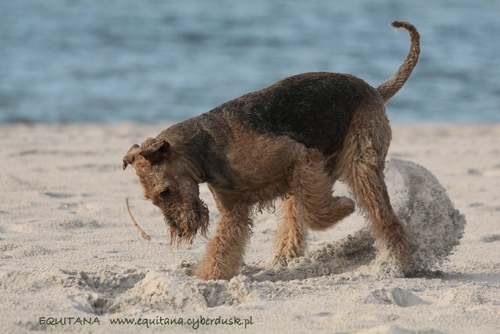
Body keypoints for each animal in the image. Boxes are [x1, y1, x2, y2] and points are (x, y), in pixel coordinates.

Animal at [123, 22, 420, 280]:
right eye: (151, 199)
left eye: (164, 192)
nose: (179, 232)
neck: (206, 149)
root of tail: (374, 90)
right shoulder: (234, 210)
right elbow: (222, 249)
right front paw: (208, 277)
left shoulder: (301, 155)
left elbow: (315, 214)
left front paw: (344, 207)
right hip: (312, 176)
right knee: (295, 221)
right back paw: (283, 257)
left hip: (359, 165)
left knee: (386, 220)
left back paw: (394, 264)